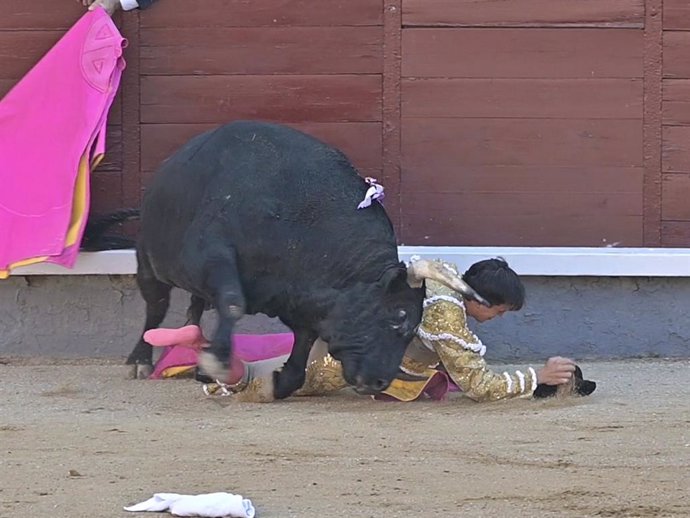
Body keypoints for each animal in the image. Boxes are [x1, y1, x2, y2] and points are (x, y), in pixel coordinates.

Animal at [125, 122, 484, 402]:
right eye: (400, 316)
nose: (380, 381)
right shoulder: (213, 255)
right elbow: (232, 302)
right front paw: (218, 363)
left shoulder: (301, 301)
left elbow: (302, 348)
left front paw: (273, 383)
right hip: (149, 263)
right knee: (156, 308)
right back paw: (140, 360)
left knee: (195, 307)